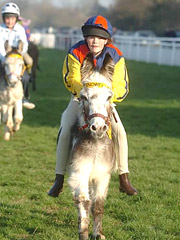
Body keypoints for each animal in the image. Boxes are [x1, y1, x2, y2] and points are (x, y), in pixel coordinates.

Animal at [68, 53, 116, 239]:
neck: (95, 144)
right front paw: (84, 234)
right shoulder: (80, 173)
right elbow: (84, 203)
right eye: (84, 97)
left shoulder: (103, 176)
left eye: (109, 97)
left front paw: (98, 234)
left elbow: (97, 206)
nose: (98, 128)